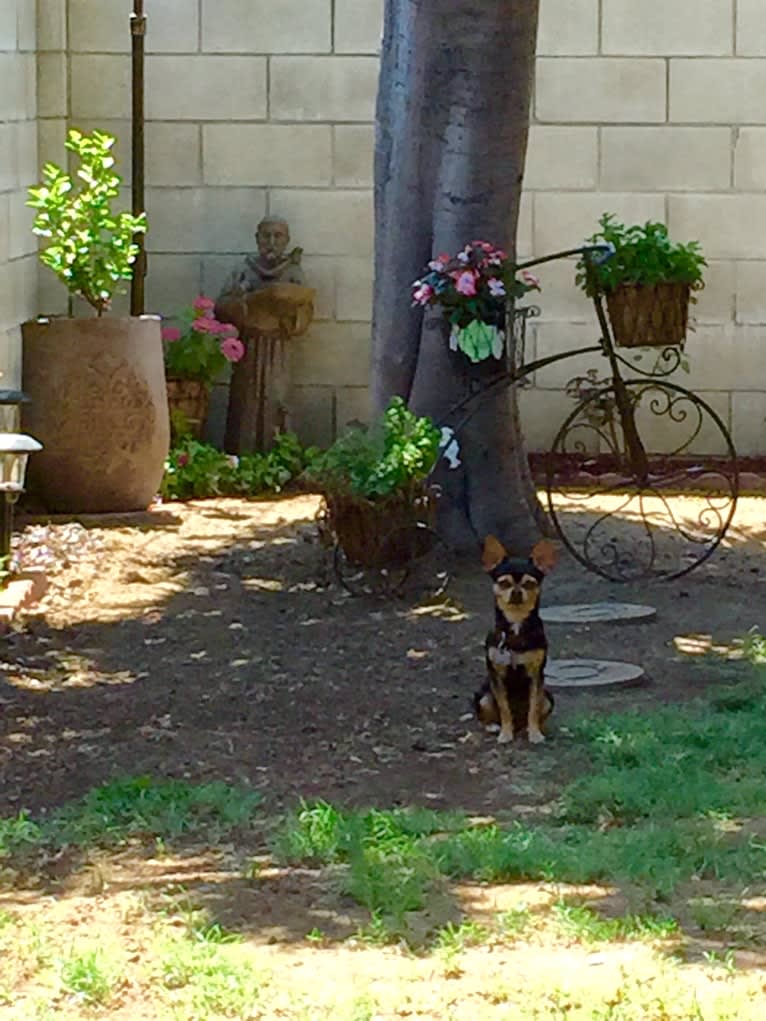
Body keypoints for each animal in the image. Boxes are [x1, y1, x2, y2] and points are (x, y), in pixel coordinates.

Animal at [473, 535, 559, 743]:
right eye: (504, 583)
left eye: (529, 583)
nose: (517, 591)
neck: (516, 628)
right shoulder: (497, 677)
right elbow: (504, 709)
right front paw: (505, 734)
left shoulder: (536, 676)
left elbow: (533, 709)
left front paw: (535, 734)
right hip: (483, 696)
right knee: (487, 713)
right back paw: (494, 726)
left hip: (548, 697)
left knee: (535, 711)